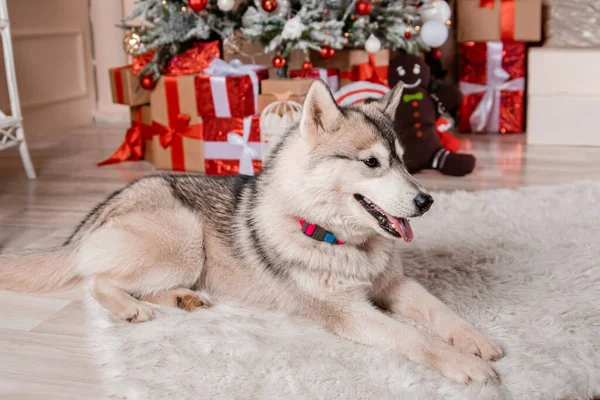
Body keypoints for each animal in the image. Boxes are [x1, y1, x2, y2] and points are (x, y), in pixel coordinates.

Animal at [1, 81, 502, 384]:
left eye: (402, 160)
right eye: (371, 162)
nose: (426, 201)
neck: (333, 235)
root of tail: (109, 202)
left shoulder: (395, 286)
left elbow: (440, 312)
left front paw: (475, 340)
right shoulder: (348, 312)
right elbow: (417, 338)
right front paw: (463, 364)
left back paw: (182, 299)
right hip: (184, 239)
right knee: (98, 281)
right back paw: (131, 308)